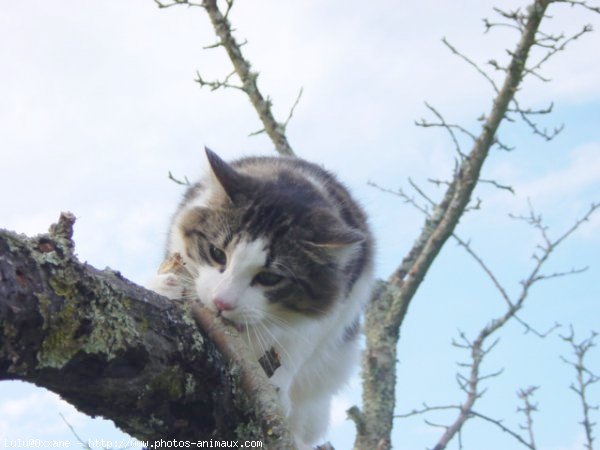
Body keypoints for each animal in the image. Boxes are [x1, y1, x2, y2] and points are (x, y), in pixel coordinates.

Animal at [148, 149, 372, 448]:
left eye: (269, 278)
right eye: (217, 254)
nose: (222, 303)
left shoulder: (337, 309)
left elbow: (295, 345)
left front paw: (277, 386)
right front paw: (167, 285)